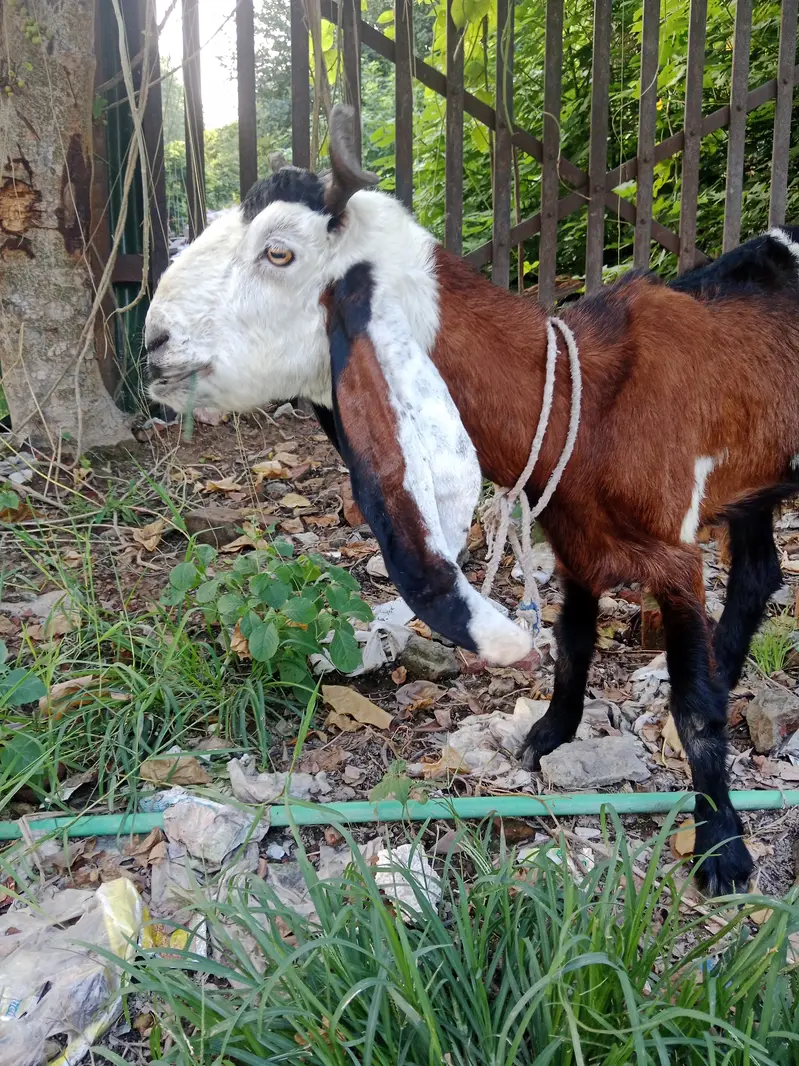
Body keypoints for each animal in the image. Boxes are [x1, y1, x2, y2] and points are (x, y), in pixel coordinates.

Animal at [145, 104, 799, 895]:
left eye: (279, 253)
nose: (153, 341)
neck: (587, 396)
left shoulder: (674, 552)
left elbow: (694, 709)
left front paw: (722, 848)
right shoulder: (573, 543)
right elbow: (572, 644)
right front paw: (546, 736)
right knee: (760, 573)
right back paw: (728, 666)